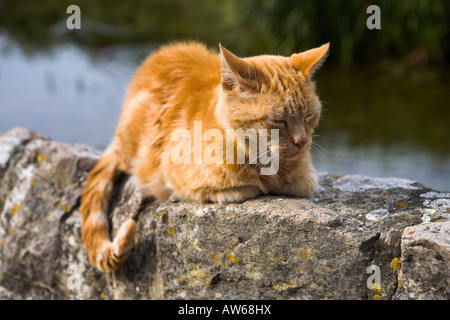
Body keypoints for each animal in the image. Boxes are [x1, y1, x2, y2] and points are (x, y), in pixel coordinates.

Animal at [81, 41, 328, 272]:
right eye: (278, 121)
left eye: (309, 116)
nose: (302, 141)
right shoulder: (173, 174)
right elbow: (235, 189)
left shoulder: (307, 175)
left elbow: (304, 183)